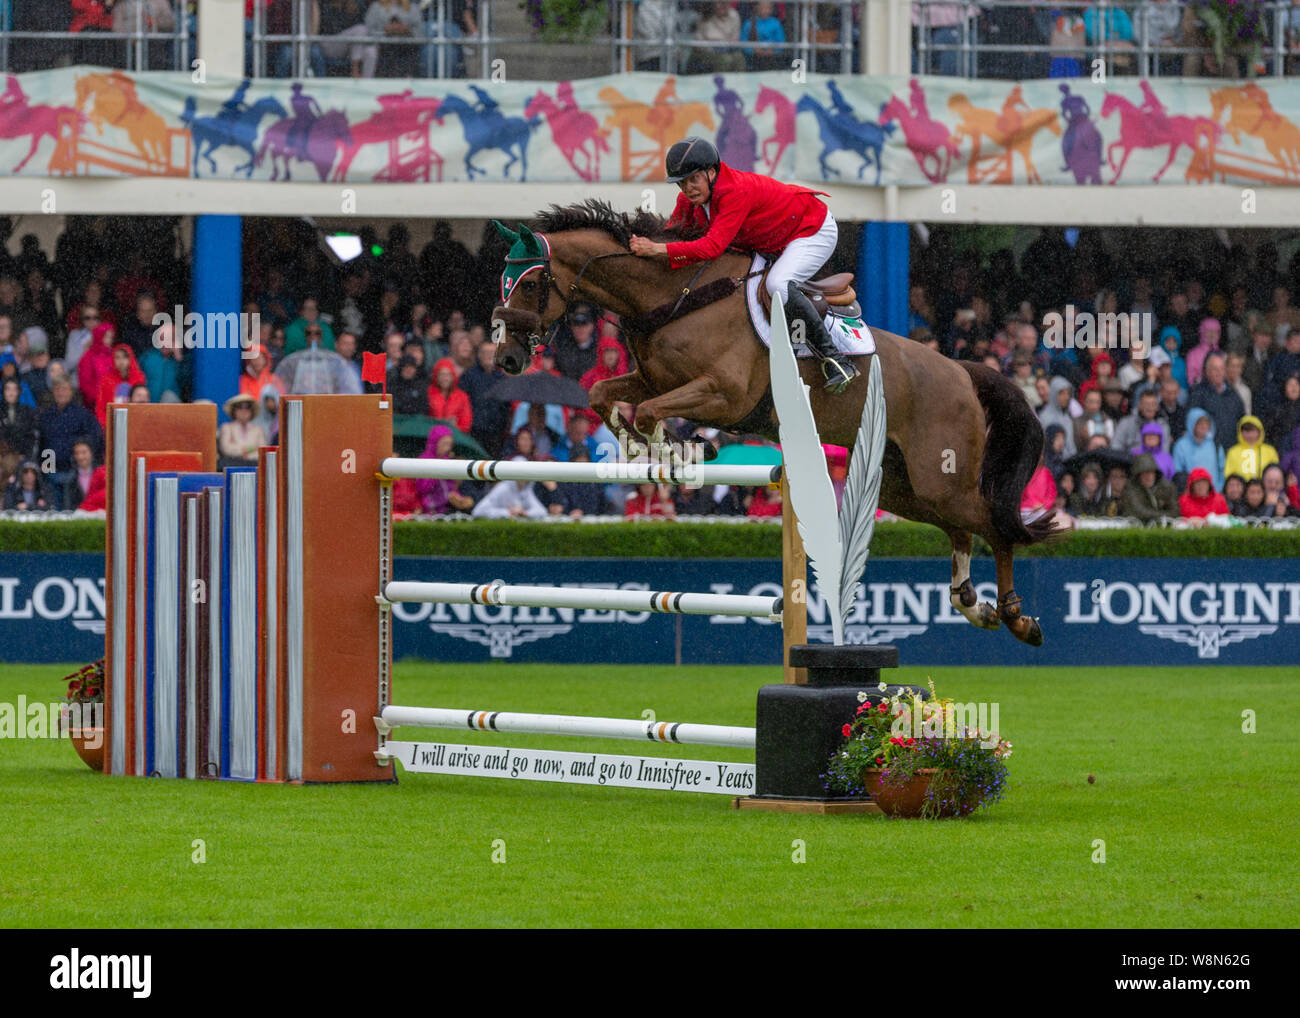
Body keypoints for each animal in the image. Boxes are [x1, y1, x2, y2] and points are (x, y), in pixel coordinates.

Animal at [488, 204, 1055, 650]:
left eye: (531, 283)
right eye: (503, 281)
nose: (508, 359)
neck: (675, 295)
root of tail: (962, 370)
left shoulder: (724, 395)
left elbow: (650, 413)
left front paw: (683, 452)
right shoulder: (653, 380)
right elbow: (603, 396)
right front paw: (652, 448)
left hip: (940, 475)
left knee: (994, 526)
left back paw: (1016, 617)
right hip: (907, 487)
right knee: (961, 528)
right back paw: (974, 605)